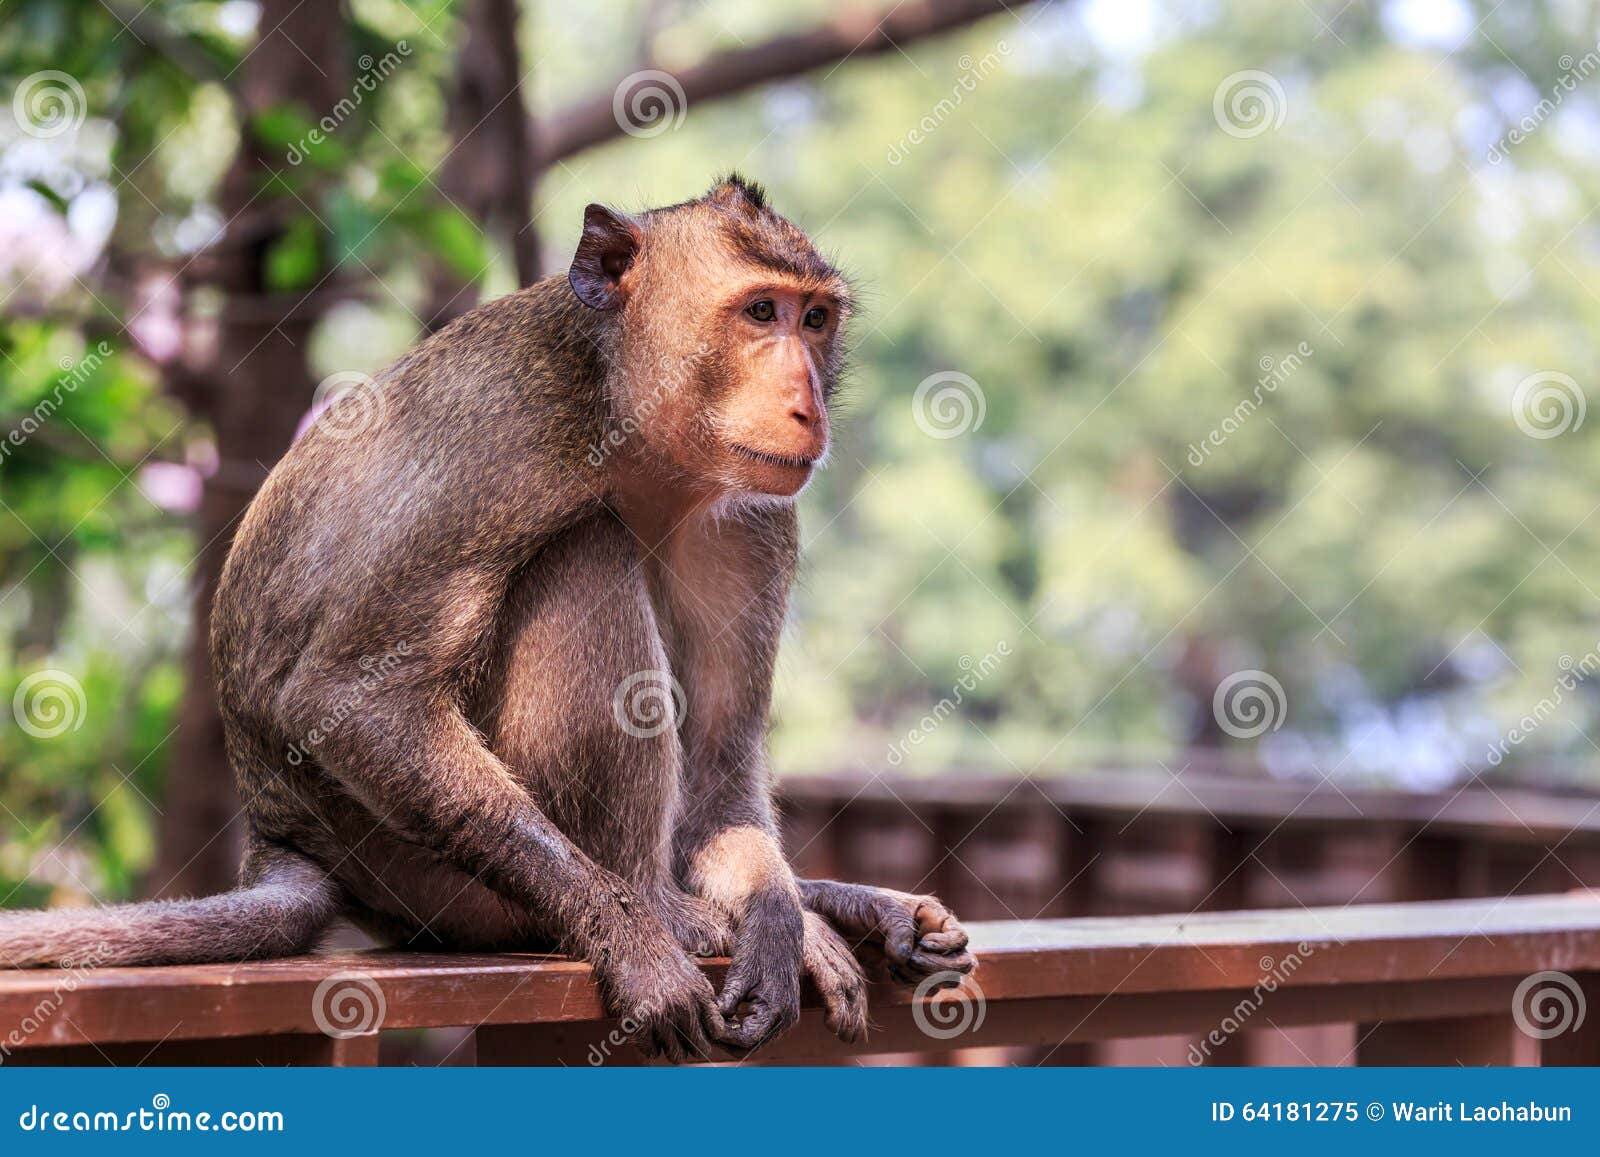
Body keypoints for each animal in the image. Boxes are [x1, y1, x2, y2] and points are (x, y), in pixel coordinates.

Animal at [0, 175, 975, 1061]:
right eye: (760, 311)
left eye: (815, 321)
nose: (806, 402)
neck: (630, 423)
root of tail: (278, 829)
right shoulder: (504, 432)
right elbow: (348, 699)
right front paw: (632, 937)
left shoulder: (757, 521)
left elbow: (724, 773)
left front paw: (779, 919)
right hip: (431, 881)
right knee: (584, 550)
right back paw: (661, 907)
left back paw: (822, 908)